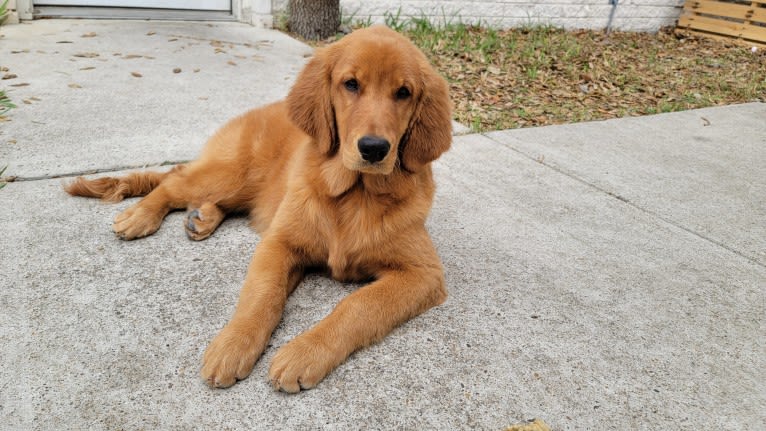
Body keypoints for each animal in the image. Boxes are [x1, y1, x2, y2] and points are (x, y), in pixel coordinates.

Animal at [64, 25, 456, 394]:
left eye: (403, 92)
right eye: (351, 84)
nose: (374, 148)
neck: (355, 193)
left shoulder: (422, 273)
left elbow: (359, 306)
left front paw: (304, 353)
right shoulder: (279, 242)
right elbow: (262, 295)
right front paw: (233, 344)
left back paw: (202, 219)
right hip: (231, 175)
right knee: (174, 181)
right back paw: (140, 216)